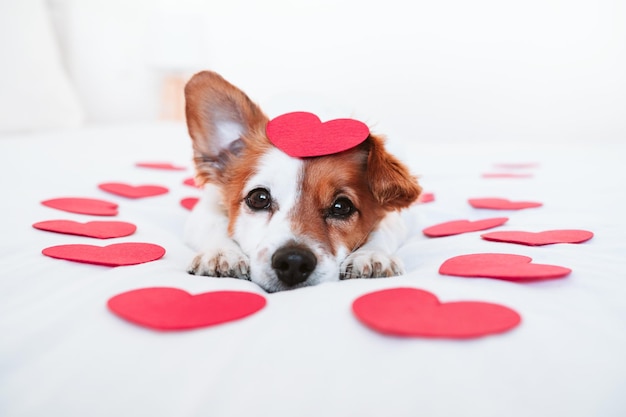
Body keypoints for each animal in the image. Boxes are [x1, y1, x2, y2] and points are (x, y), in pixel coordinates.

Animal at [183, 70, 422, 292]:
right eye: (259, 198)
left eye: (342, 207)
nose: (293, 262)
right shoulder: (205, 207)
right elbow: (213, 224)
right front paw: (222, 252)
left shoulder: (396, 216)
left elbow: (384, 230)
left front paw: (370, 254)